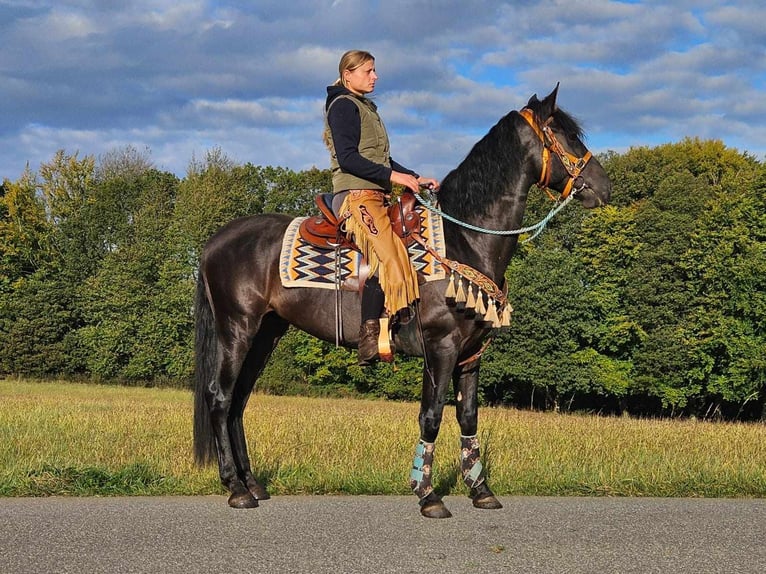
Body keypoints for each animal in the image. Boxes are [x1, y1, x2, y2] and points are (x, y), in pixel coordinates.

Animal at [195, 84, 616, 516]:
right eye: (566, 135)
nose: (604, 187)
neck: (464, 239)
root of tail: (214, 243)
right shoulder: (441, 347)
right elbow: (431, 416)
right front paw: (427, 493)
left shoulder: (471, 353)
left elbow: (468, 417)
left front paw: (480, 490)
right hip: (237, 329)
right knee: (219, 397)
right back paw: (236, 488)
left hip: (267, 333)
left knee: (239, 401)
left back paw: (252, 482)